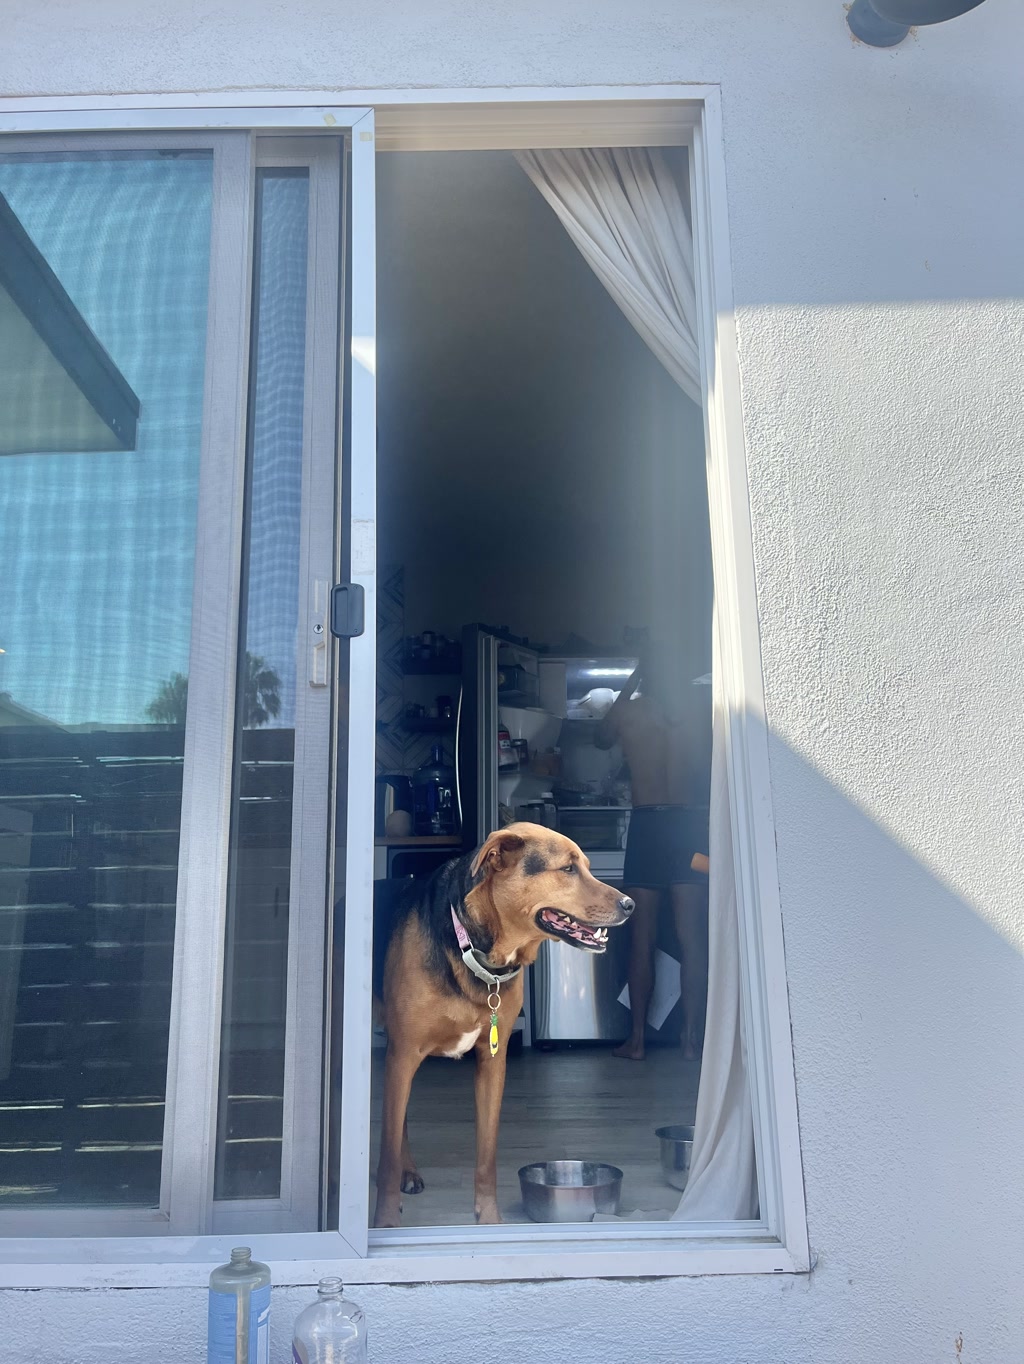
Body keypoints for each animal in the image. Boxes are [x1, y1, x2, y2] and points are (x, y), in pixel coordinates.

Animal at [373, 823, 638, 1233]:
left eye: (588, 867)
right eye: (567, 869)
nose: (630, 904)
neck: (478, 951)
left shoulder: (491, 1063)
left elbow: (486, 1157)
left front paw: (490, 1221)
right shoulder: (403, 1055)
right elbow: (386, 1152)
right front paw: (384, 1223)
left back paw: (410, 1171)